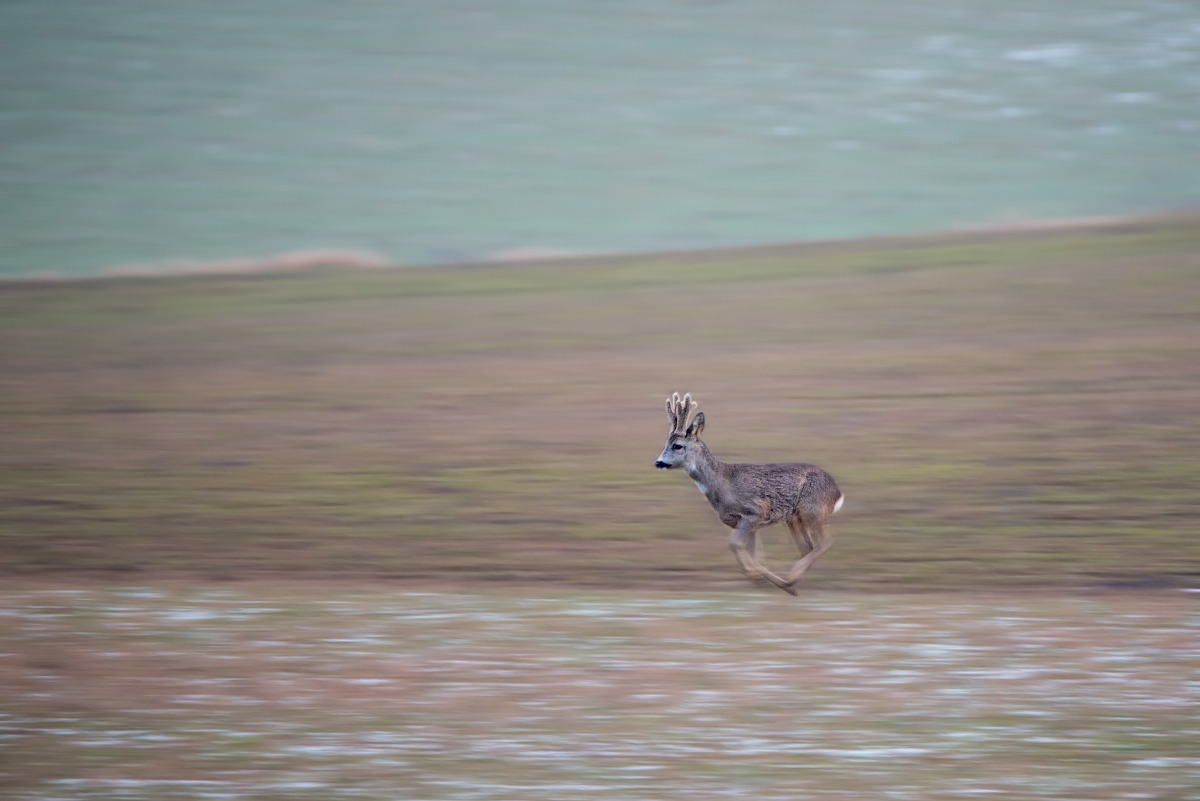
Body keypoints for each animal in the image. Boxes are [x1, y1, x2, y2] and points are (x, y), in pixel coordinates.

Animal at [654, 392, 844, 596]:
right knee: (807, 547)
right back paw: (790, 582)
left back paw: (789, 582)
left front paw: (756, 575)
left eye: (678, 446)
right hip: (793, 518)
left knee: (824, 542)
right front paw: (757, 577)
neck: (722, 483)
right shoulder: (746, 522)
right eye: (666, 443)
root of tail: (837, 493)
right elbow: (752, 551)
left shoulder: (755, 511)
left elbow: (735, 544)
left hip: (812, 509)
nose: (658, 462)